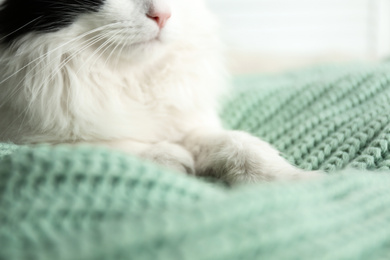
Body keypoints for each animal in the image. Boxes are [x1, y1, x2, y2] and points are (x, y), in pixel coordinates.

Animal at [0, 0, 322, 184]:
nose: (163, 15)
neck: (130, 79)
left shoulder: (191, 126)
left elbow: (242, 145)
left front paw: (300, 182)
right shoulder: (22, 138)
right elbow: (95, 145)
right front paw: (171, 159)